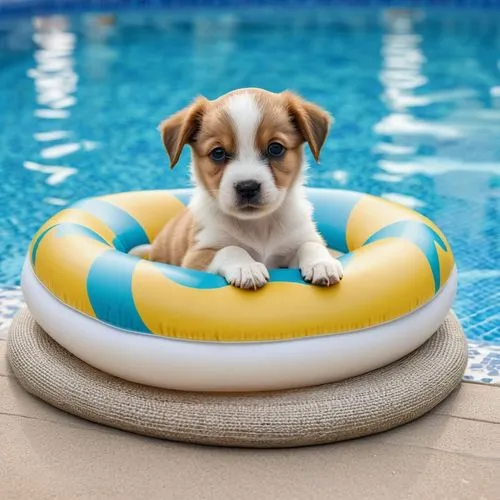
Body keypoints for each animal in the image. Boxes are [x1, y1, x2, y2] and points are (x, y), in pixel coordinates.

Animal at [149, 88, 344, 288]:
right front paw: (246, 267)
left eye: (275, 148)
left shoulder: (298, 238)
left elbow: (311, 244)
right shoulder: (197, 256)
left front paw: (322, 263)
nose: (247, 187)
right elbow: (231, 249)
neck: (257, 226)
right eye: (218, 153)